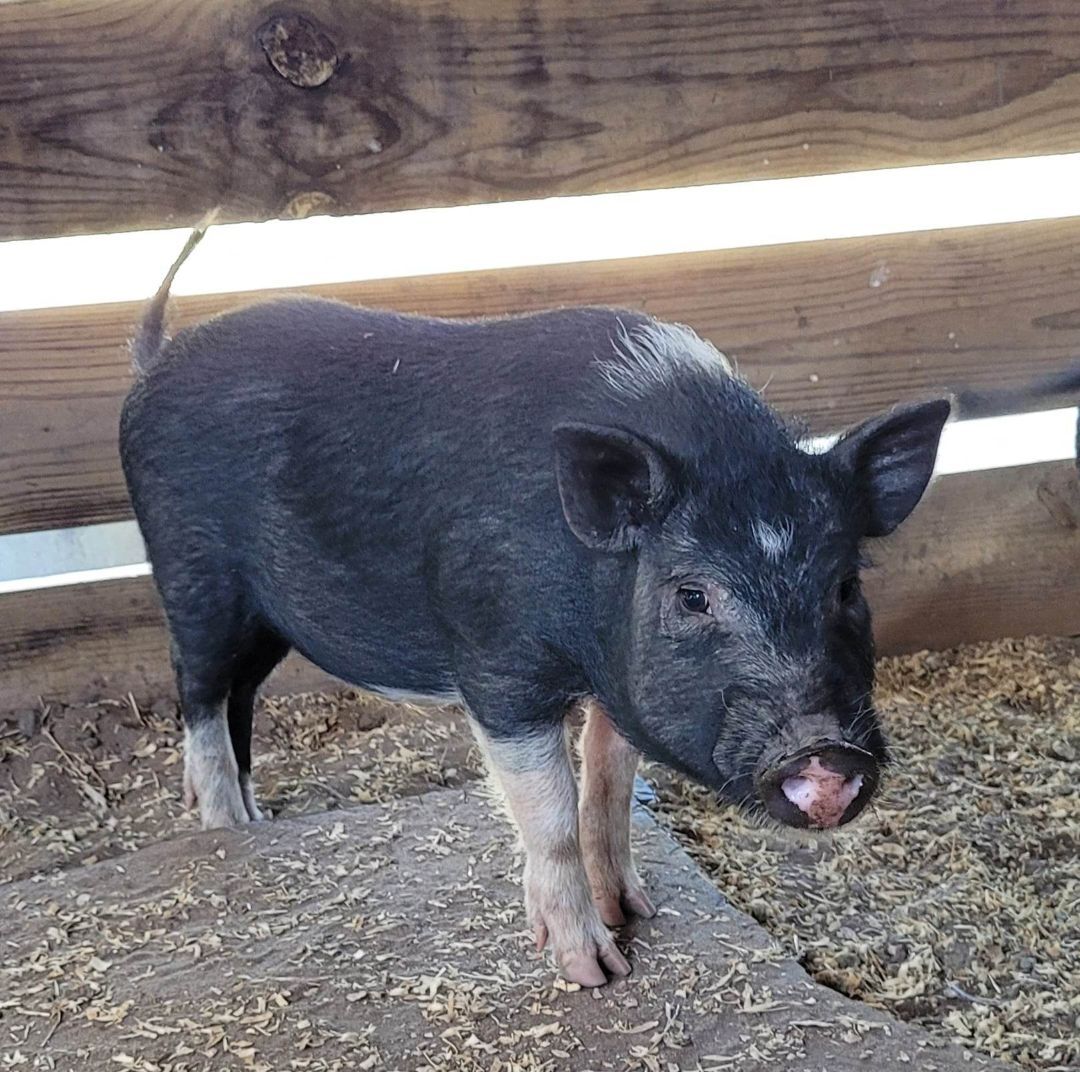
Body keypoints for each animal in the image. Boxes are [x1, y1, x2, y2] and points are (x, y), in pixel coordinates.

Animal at [120, 224, 950, 986]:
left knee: (239, 696)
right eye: (692, 595)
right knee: (197, 693)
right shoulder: (498, 663)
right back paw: (226, 829)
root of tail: (155, 363)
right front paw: (594, 970)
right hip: (192, 573)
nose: (826, 754)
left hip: (265, 619)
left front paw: (636, 910)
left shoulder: (617, 681)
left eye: (846, 586)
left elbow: (607, 785)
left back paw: (257, 820)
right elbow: (550, 812)